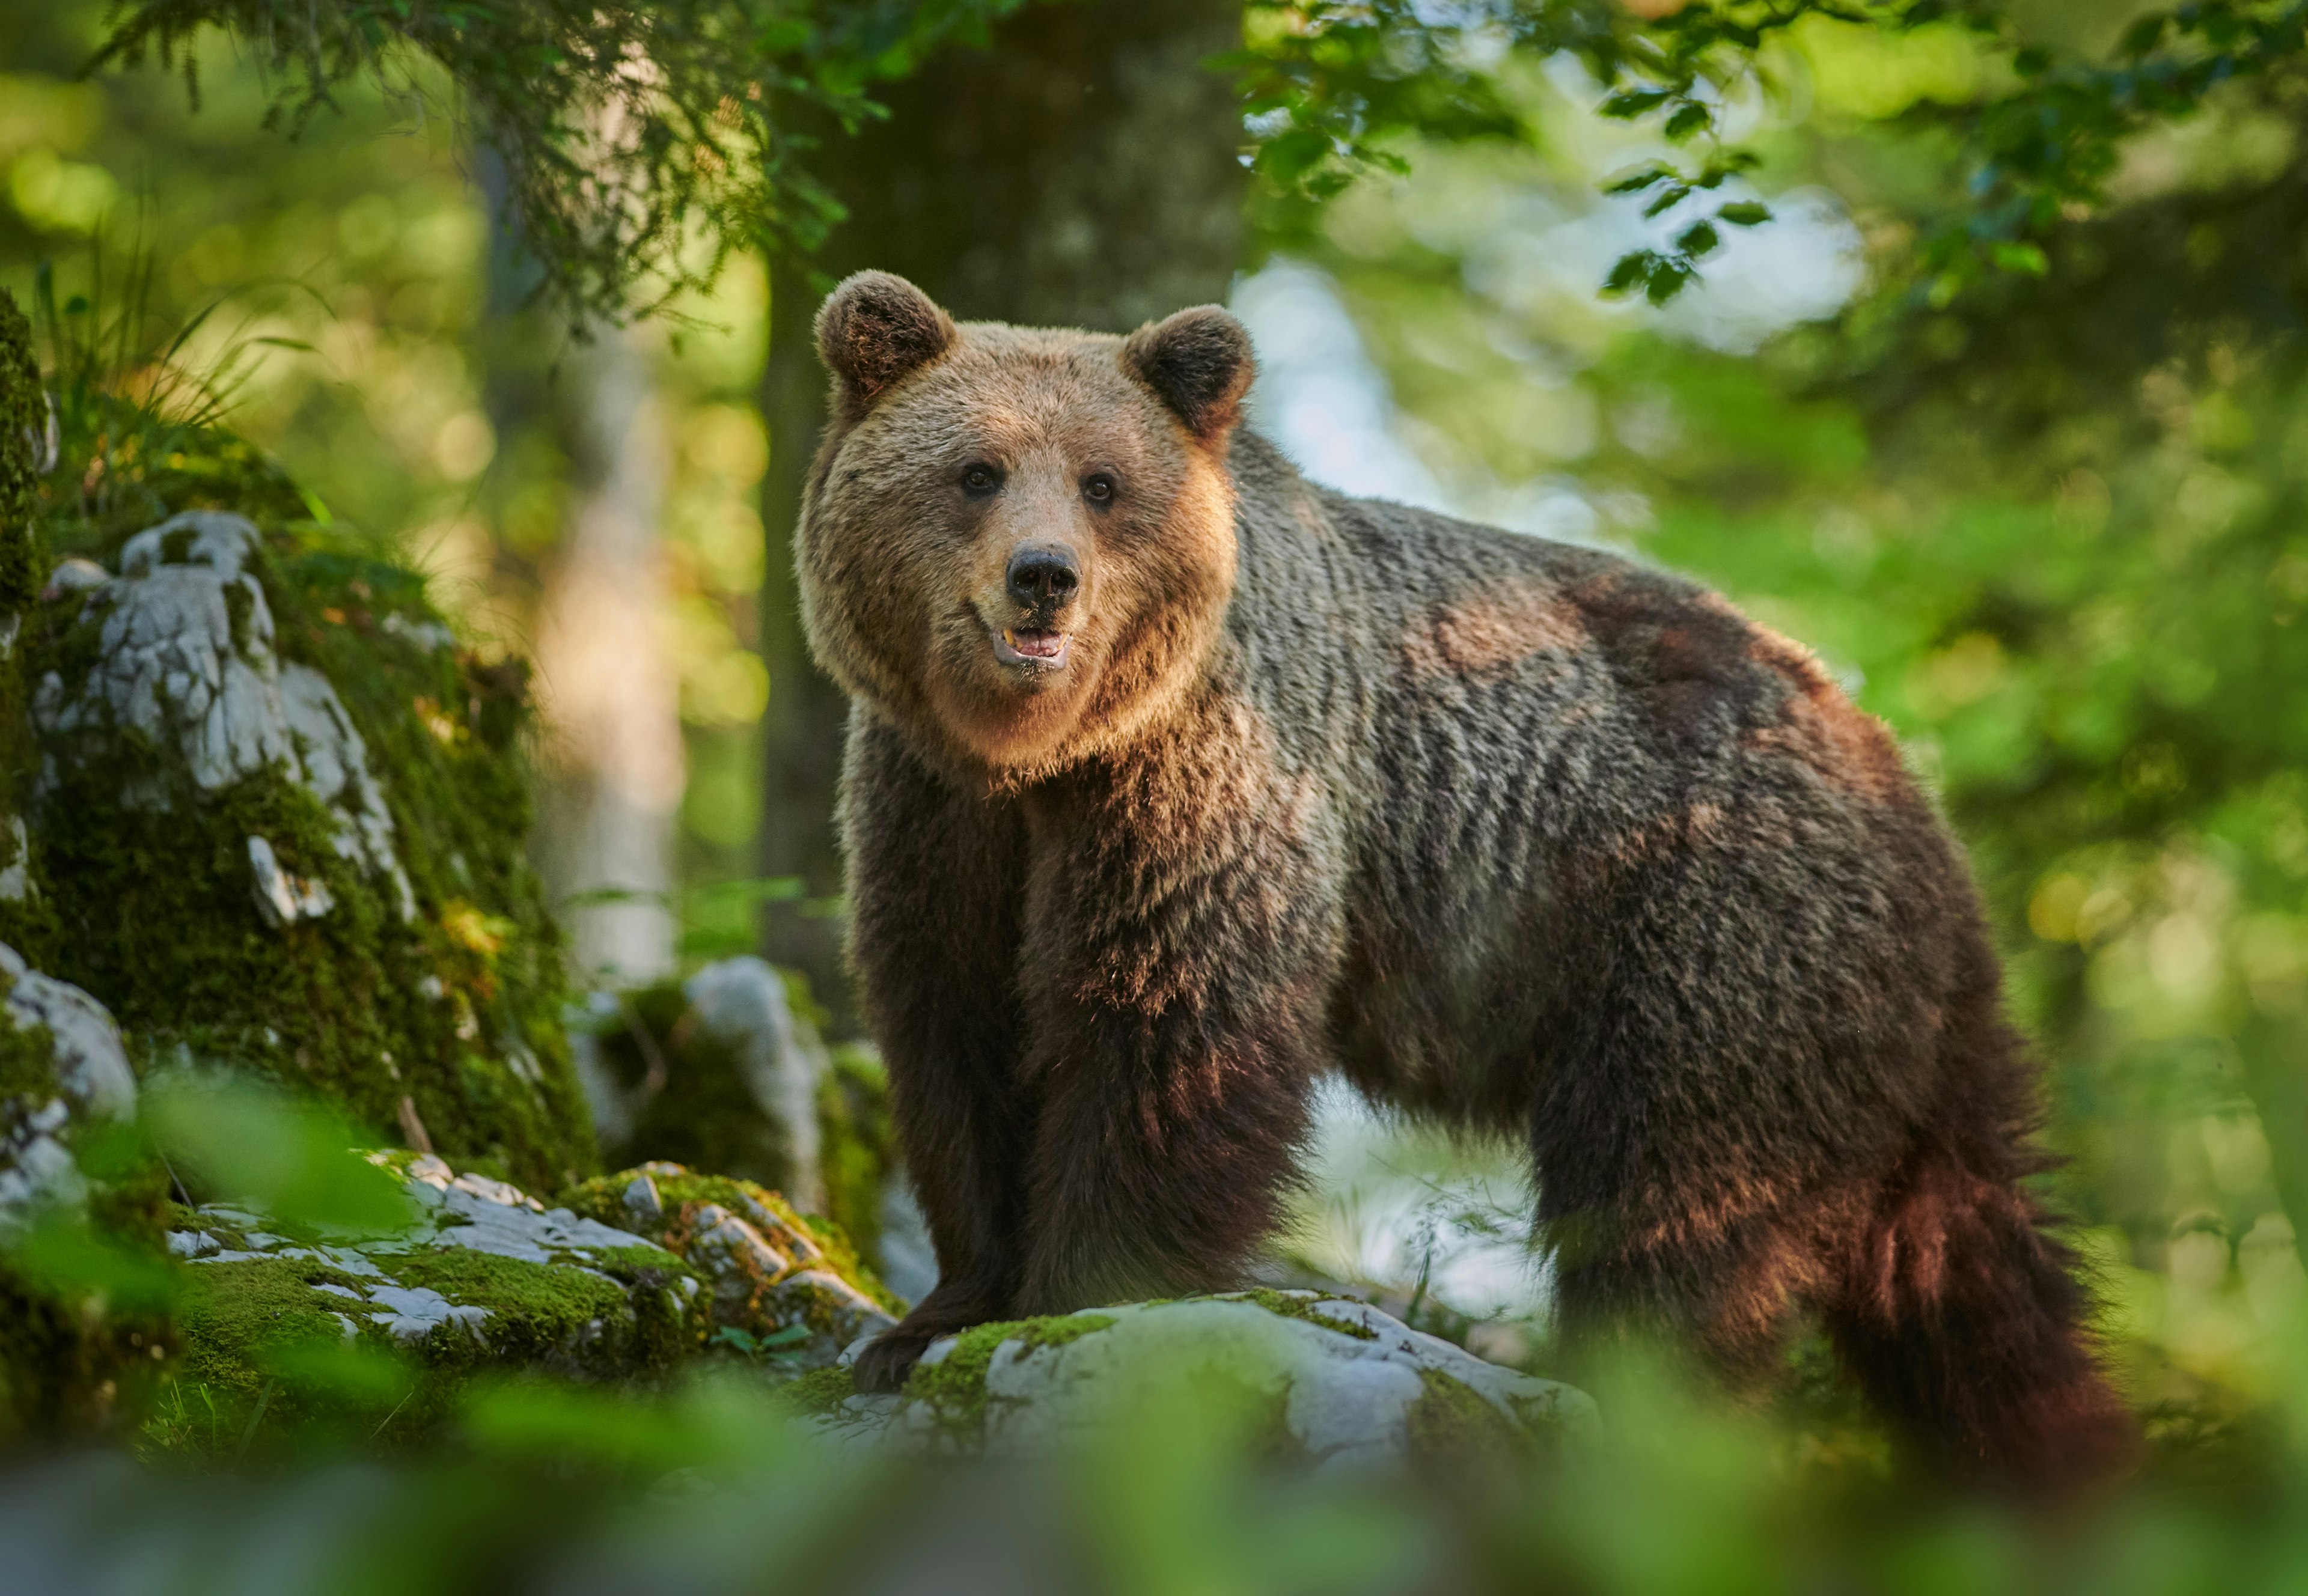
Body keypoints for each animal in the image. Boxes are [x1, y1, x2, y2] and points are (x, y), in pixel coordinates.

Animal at [803, 265, 2132, 1485]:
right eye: (976, 470)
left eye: (1102, 481)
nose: (1044, 576)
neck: (1042, 756)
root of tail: (1901, 780)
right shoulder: (936, 811)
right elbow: (956, 1029)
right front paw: (933, 1317)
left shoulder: (1206, 777)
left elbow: (1169, 1023)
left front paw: (1090, 1297)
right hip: (1886, 1029)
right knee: (1968, 1262)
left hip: (1711, 942)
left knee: (1675, 1204)